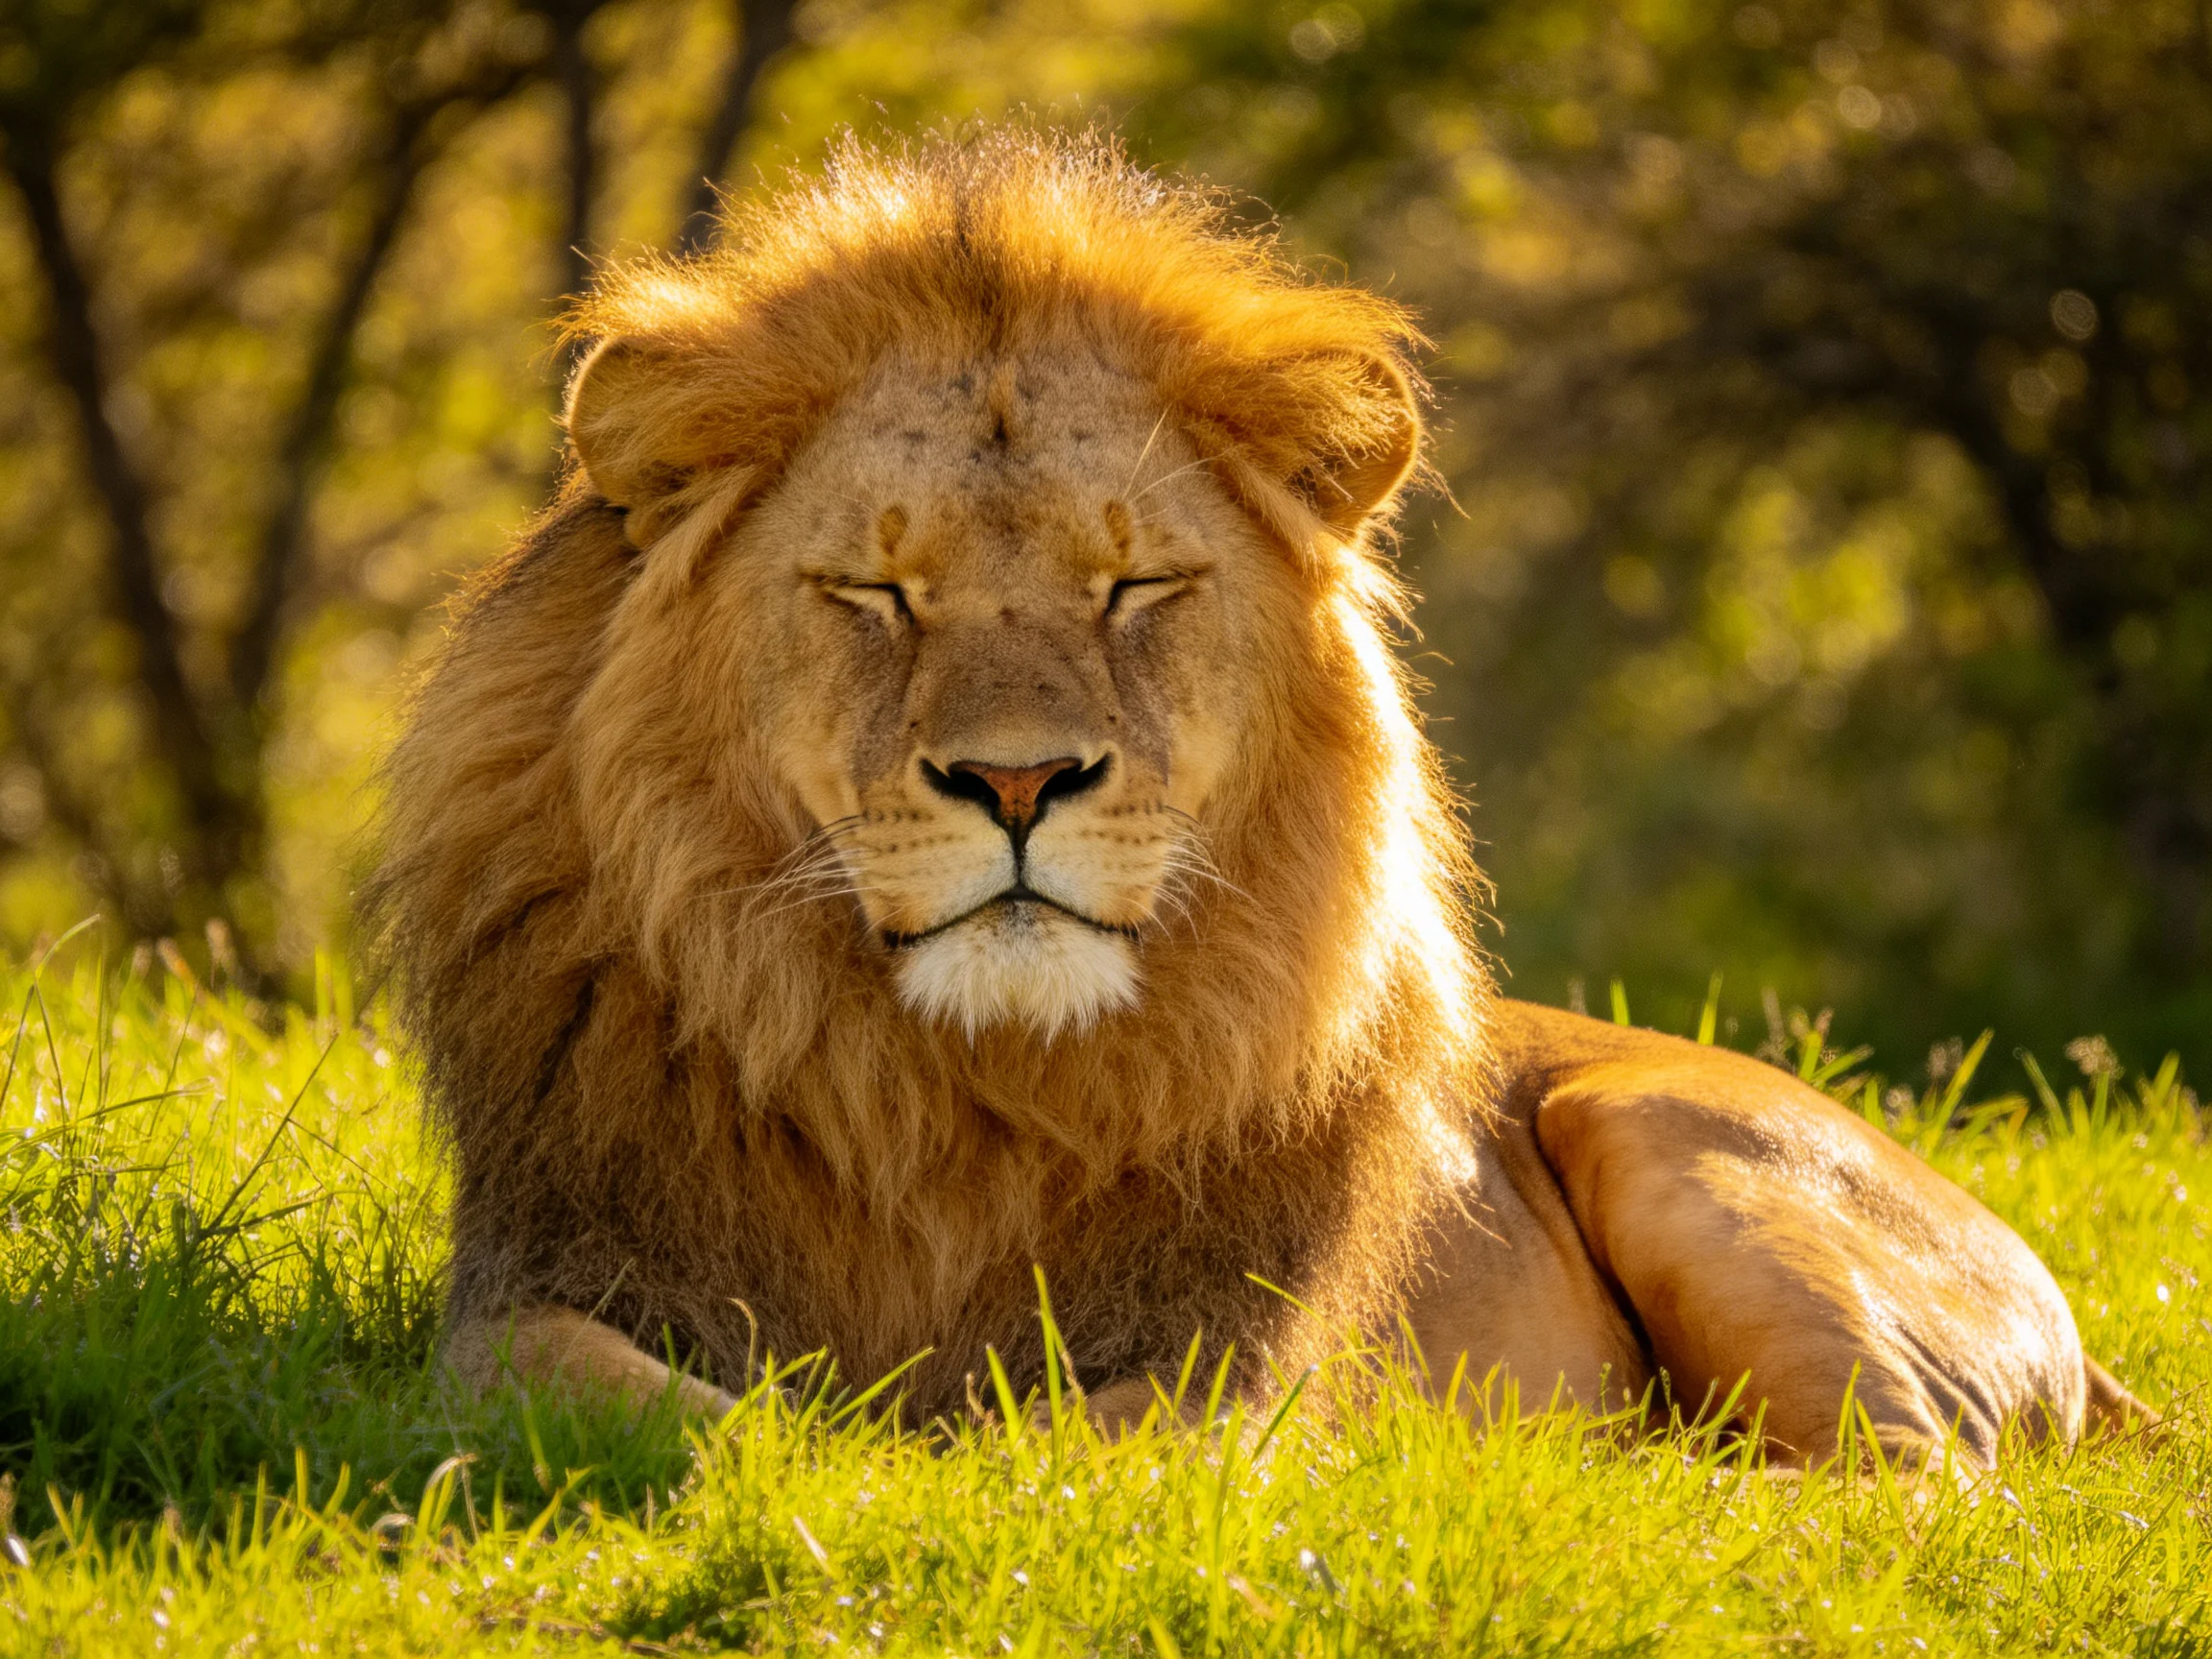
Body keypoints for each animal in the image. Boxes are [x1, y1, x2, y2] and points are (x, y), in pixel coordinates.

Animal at [371, 128, 2154, 1469]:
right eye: (877, 593)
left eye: (1133, 586)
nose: (1016, 778)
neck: (949, 1092)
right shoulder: (531, 1280)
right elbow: (628, 1400)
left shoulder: (1236, 1357)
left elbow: (1081, 1436)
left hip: (1673, 1141)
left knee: (1901, 1473)